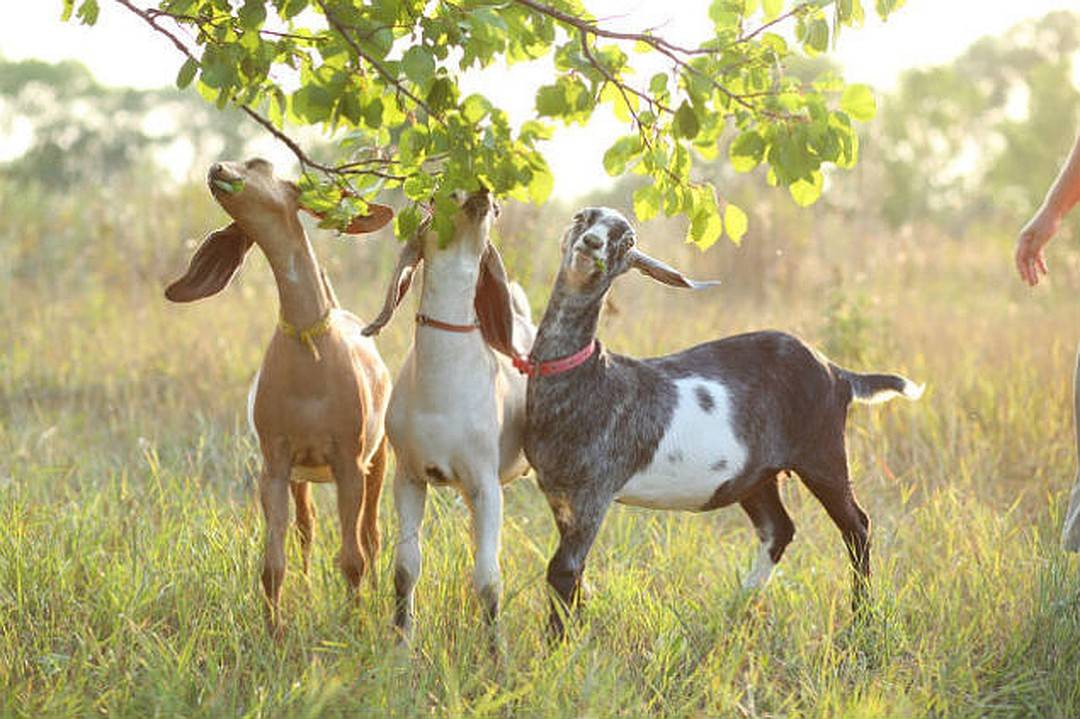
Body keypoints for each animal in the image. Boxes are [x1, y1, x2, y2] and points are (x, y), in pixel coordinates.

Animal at [165, 158, 394, 636]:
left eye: (260, 164)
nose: (218, 168)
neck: (310, 351)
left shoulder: (349, 460)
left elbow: (353, 559)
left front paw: (355, 622)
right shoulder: (275, 461)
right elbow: (272, 564)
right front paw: (275, 632)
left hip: (380, 456)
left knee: (372, 535)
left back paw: (378, 593)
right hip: (302, 475)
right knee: (307, 529)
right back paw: (307, 590)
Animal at [363, 189, 535, 638]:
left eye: (496, 209)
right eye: (443, 194)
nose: (481, 193)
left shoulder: (487, 484)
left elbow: (488, 579)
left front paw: (496, 651)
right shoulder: (408, 477)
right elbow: (406, 569)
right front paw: (401, 641)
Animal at [521, 207, 924, 637]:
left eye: (627, 241)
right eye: (582, 216)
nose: (592, 244)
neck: (588, 378)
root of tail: (837, 372)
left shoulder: (594, 491)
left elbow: (563, 571)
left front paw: (556, 646)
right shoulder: (561, 496)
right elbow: (576, 573)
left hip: (823, 454)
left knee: (857, 527)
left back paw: (862, 617)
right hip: (757, 475)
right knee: (779, 528)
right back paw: (737, 607)